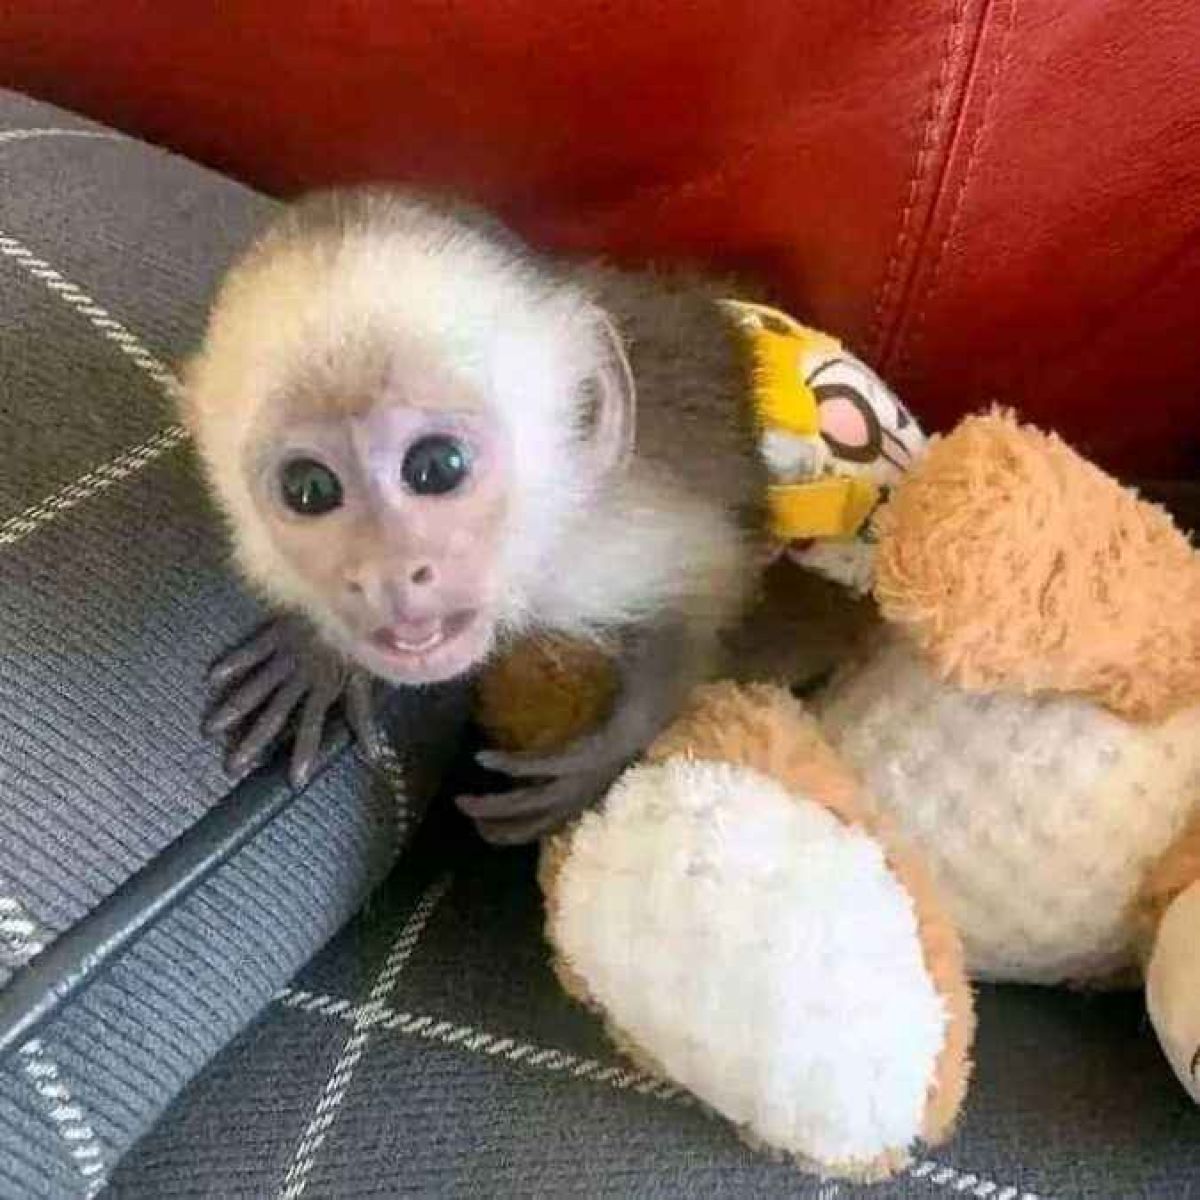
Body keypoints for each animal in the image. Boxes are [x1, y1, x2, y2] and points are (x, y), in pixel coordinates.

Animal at [184, 186, 920, 844]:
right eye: (309, 489)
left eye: (437, 467)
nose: (386, 573)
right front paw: (320, 651)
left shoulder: (619, 532)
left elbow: (711, 579)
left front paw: (610, 752)